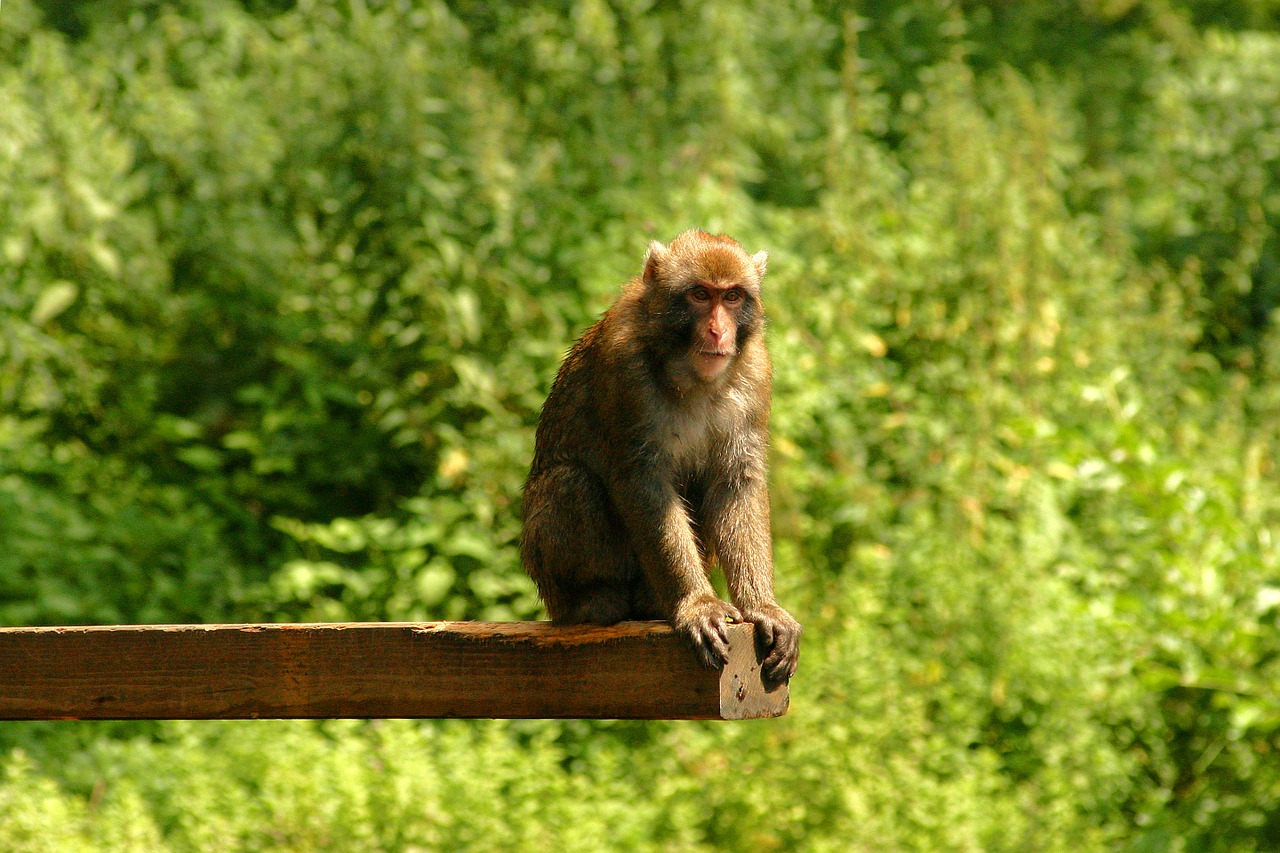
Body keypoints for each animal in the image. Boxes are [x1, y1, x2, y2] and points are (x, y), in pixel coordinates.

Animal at [519, 229, 798, 681]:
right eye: (700, 294)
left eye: (732, 297)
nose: (718, 331)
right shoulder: (623, 366)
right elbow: (640, 480)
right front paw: (696, 604)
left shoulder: (757, 370)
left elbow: (736, 481)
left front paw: (762, 606)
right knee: (569, 482)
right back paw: (596, 601)